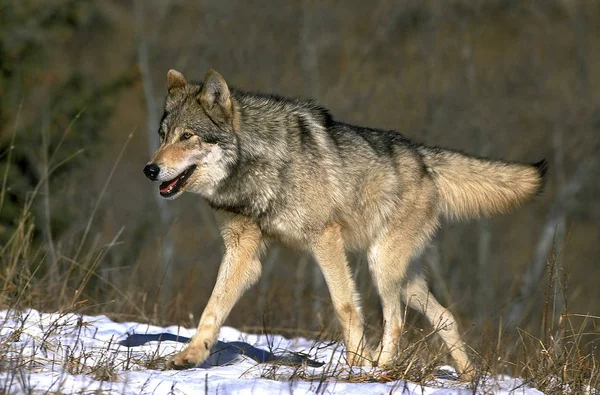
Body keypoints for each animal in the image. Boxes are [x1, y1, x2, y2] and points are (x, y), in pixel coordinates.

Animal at [143, 69, 548, 380]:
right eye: (163, 136)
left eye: (187, 137)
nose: (150, 169)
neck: (258, 166)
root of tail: (423, 156)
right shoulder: (243, 251)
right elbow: (212, 308)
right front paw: (190, 357)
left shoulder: (325, 239)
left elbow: (345, 306)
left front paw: (356, 365)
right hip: (406, 279)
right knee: (445, 317)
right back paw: (468, 378)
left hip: (381, 265)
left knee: (395, 321)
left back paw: (379, 369)